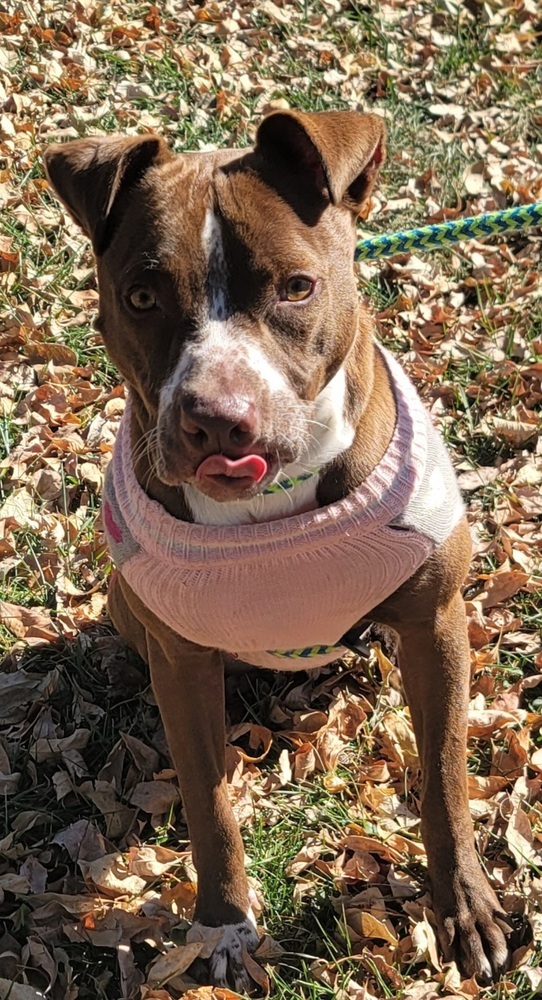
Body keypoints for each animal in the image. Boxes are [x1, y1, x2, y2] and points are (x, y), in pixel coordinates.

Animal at [44, 113, 512, 988]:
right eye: (142, 296)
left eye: (297, 288)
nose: (217, 418)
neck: (269, 510)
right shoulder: (184, 660)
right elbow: (208, 803)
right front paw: (224, 927)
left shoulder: (436, 622)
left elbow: (444, 780)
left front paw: (464, 907)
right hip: (131, 608)